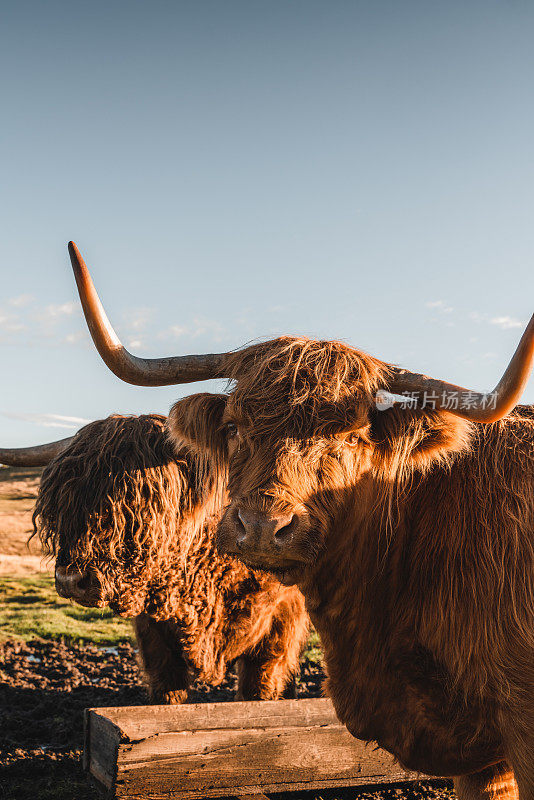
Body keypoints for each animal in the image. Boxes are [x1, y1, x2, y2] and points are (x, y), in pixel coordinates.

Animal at [0, 416, 308, 704]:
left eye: (138, 500)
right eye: (62, 505)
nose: (70, 581)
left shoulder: (278, 627)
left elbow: (258, 691)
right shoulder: (154, 633)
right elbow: (167, 690)